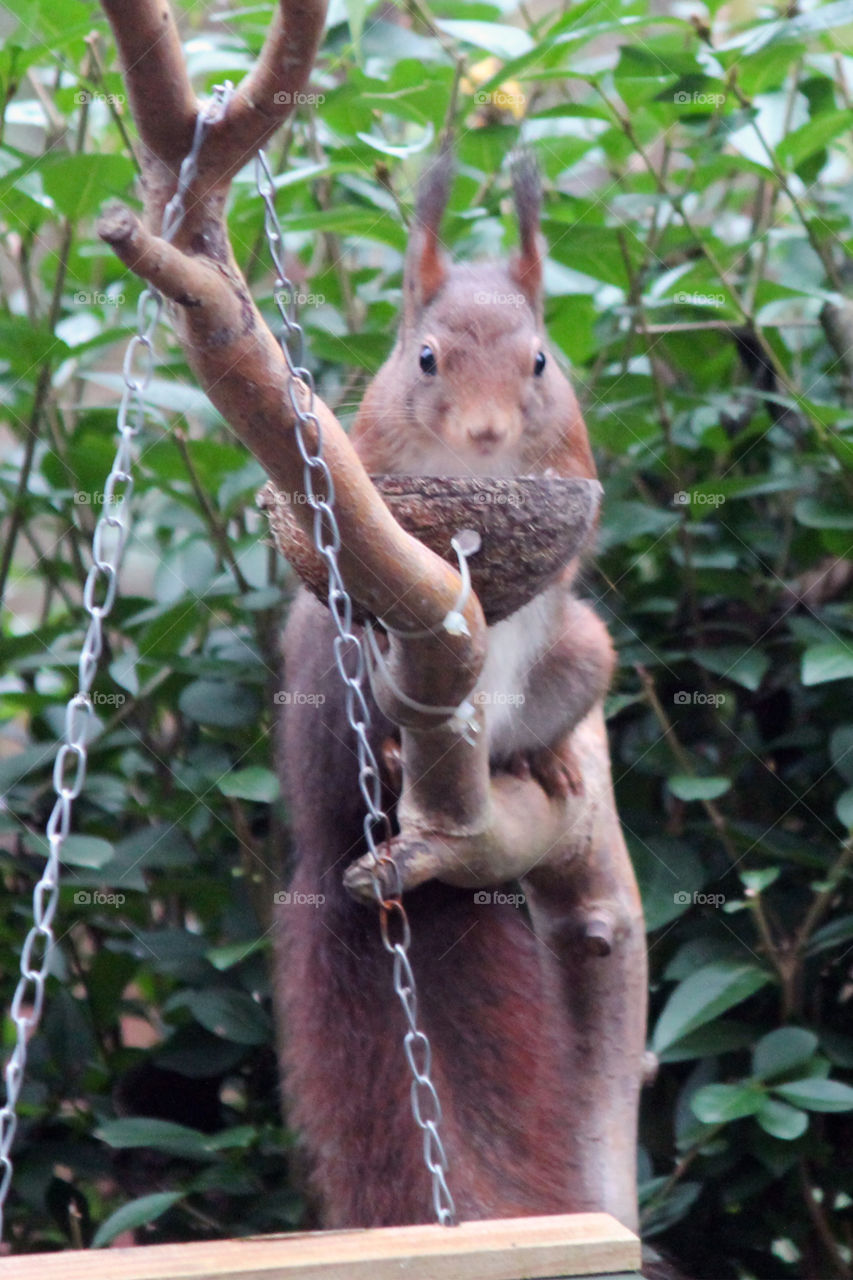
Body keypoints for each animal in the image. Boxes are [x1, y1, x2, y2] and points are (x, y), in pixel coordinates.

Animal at [274, 152, 616, 1228]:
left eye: (541, 362)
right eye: (424, 359)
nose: (486, 431)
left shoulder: (573, 464)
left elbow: (565, 544)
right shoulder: (361, 466)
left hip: (583, 657)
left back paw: (541, 759)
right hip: (331, 677)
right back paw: (387, 748)